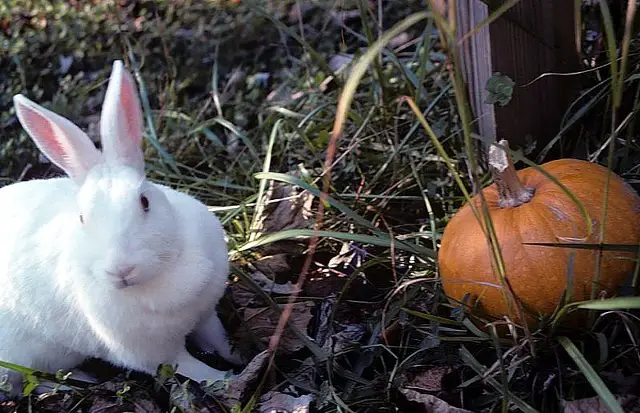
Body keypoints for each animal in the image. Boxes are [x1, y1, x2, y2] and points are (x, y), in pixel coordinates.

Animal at [0, 60, 240, 396]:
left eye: (144, 201)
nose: (121, 270)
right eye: (82, 218)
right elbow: (193, 368)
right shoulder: (154, 353)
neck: (161, 274)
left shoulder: (206, 314)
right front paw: (226, 379)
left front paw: (240, 355)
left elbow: (217, 338)